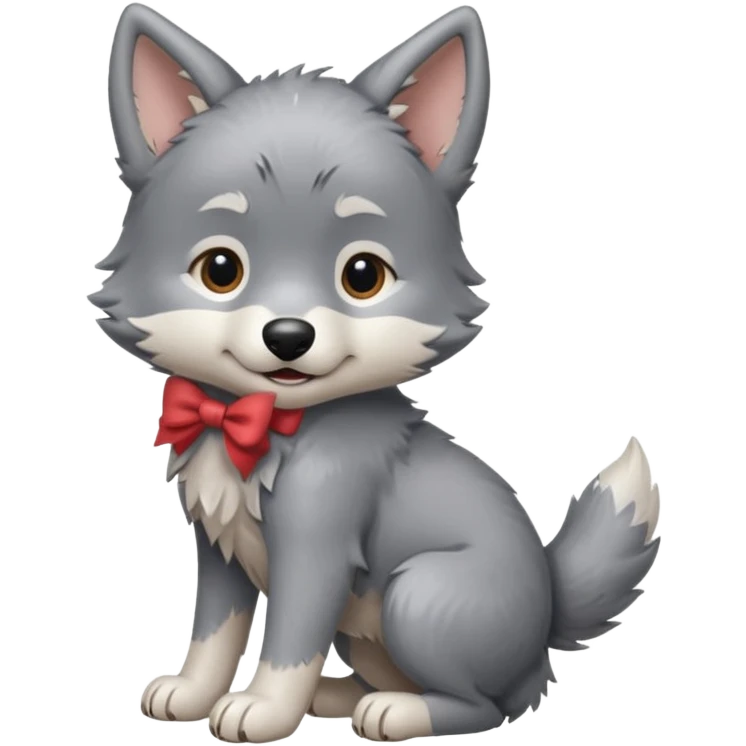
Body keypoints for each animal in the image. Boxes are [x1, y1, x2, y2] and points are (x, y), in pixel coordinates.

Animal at [96, 3, 662, 743]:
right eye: (220, 269)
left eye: (362, 276)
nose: (287, 336)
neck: (265, 427)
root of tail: (544, 622)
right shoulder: (220, 552)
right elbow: (214, 633)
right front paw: (191, 694)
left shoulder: (318, 545)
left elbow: (287, 643)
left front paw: (261, 709)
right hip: (371, 628)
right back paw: (340, 695)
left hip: (419, 594)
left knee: (487, 705)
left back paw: (395, 711)